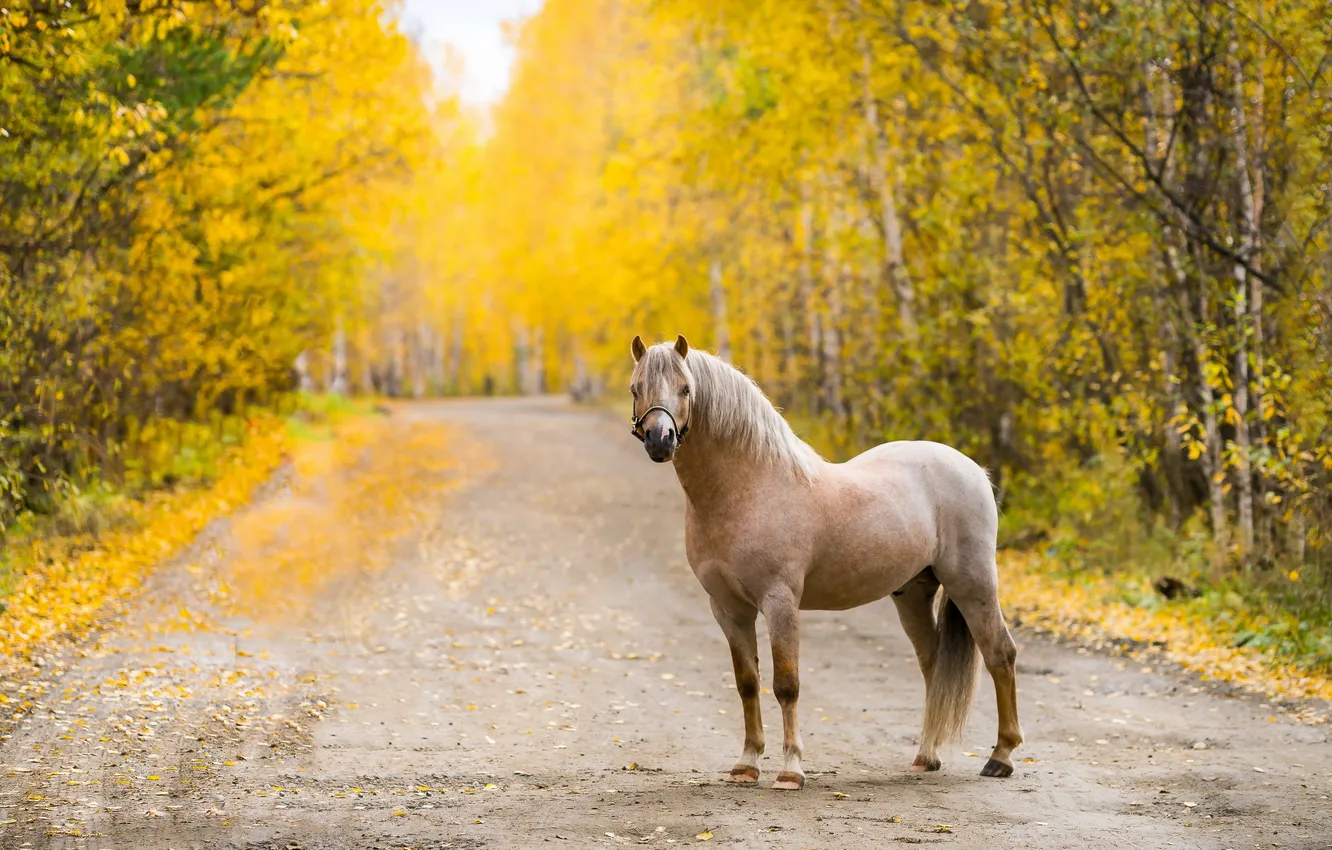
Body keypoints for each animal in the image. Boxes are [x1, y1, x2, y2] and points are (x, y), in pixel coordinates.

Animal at [628, 333, 1022, 794]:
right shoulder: (728, 609)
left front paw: (790, 770)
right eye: (636, 387)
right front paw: (746, 765)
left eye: (686, 389)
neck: (750, 488)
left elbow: (786, 685)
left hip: (973, 583)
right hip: (913, 594)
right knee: (934, 666)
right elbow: (747, 684)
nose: (660, 440)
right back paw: (926, 757)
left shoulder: (780, 602)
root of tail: (973, 469)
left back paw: (1001, 757)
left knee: (1000, 654)